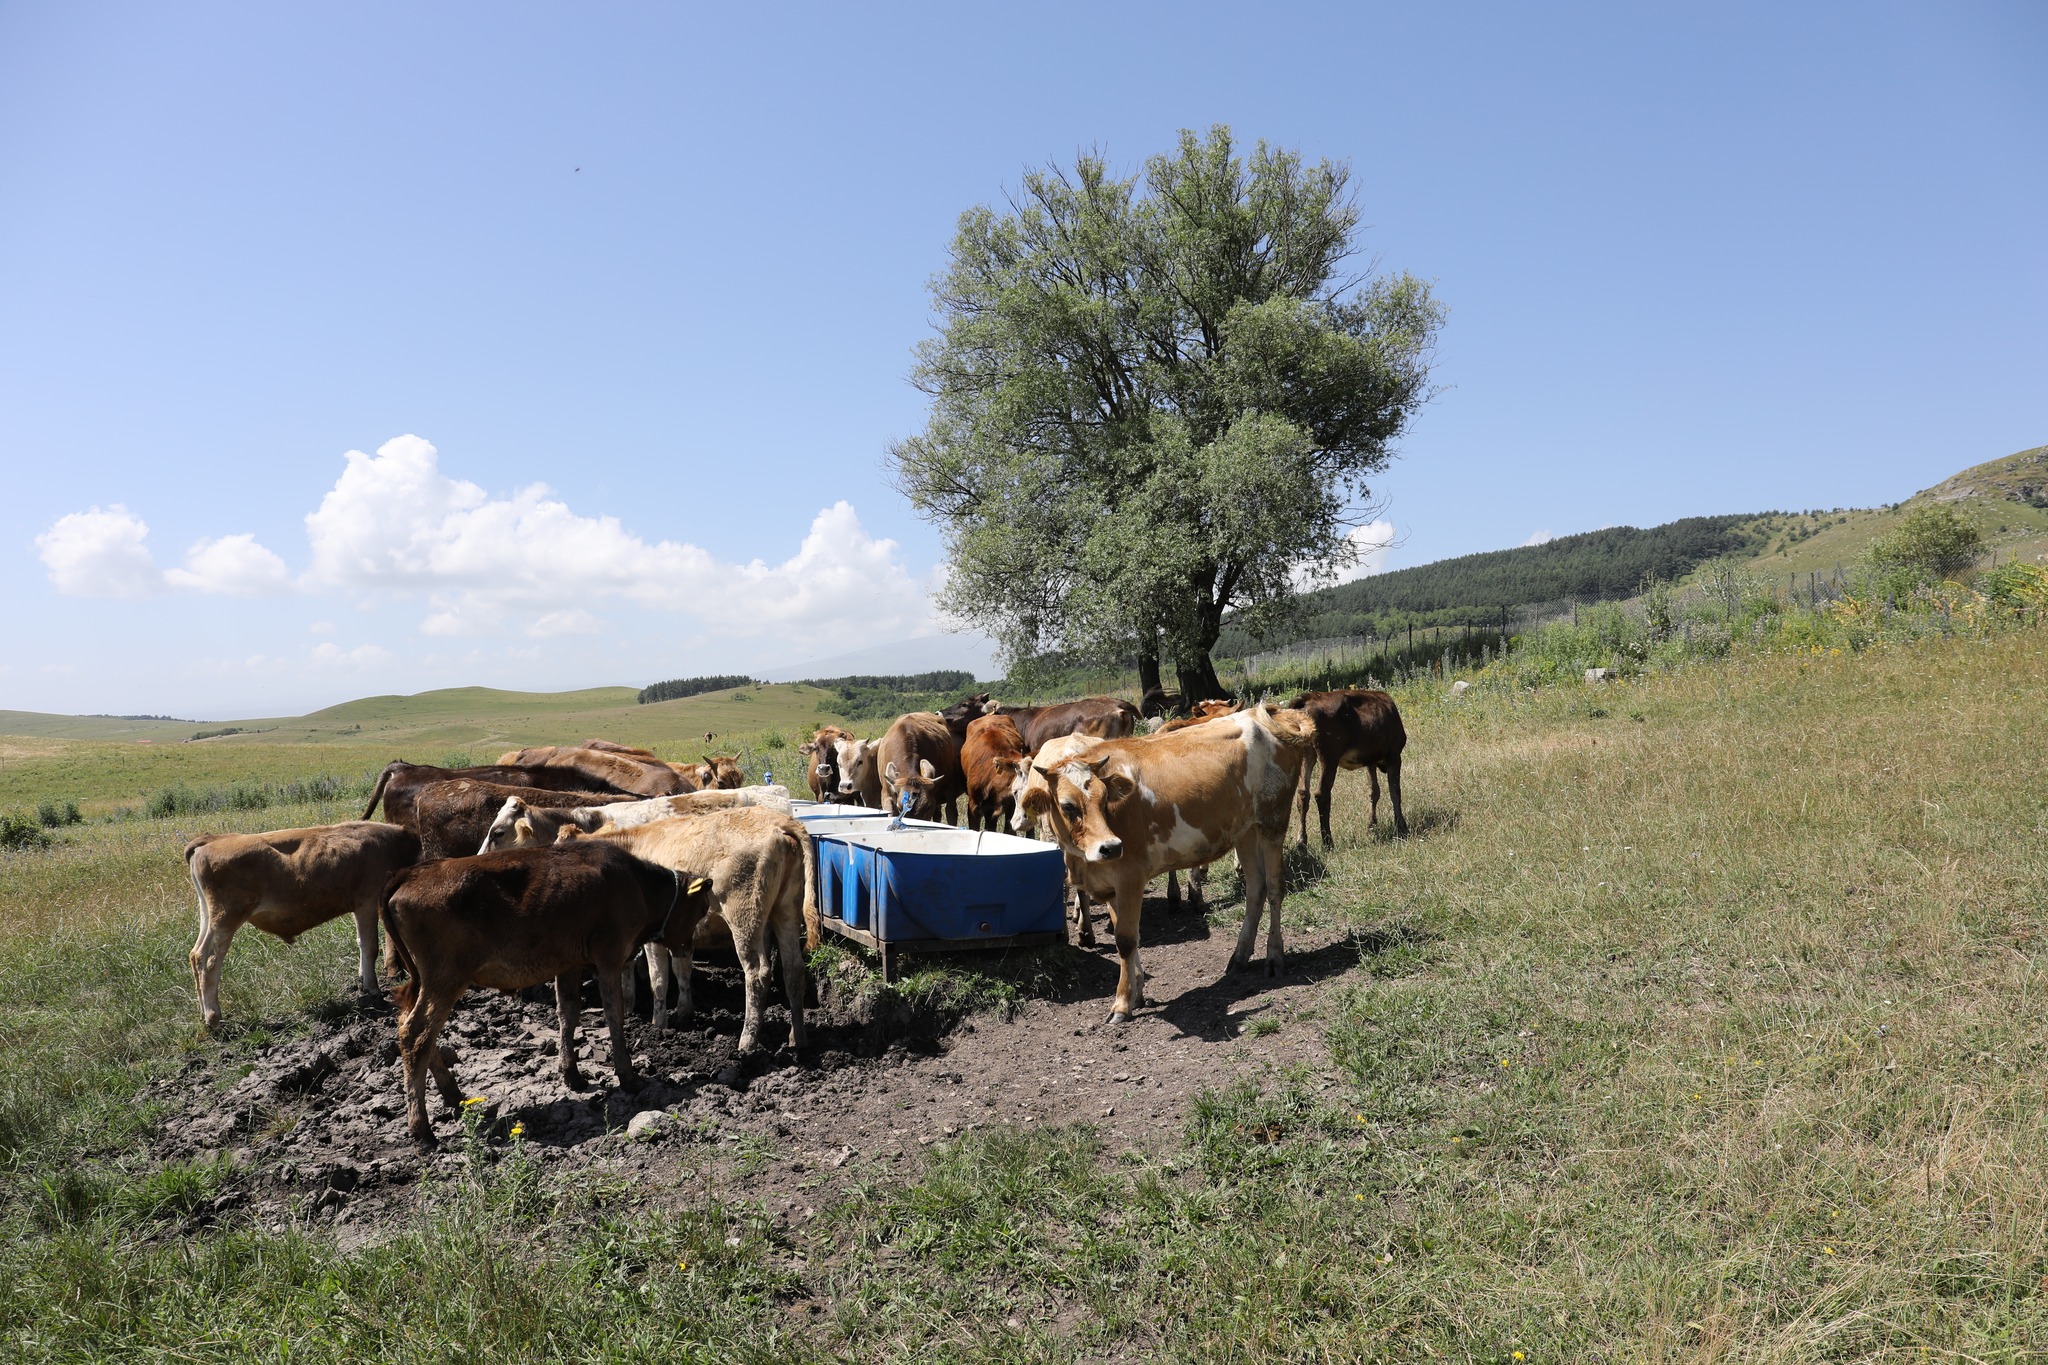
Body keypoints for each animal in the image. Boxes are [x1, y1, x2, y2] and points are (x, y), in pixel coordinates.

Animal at [184, 821, 421, 1028]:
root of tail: (211, 840)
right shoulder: (368, 902)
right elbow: (370, 946)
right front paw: (374, 991)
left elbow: (361, 943)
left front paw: (363, 979)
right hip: (226, 918)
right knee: (210, 961)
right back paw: (214, 1017)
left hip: (209, 917)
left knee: (197, 955)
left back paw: (204, 1014)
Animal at [381, 841, 711, 1145]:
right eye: (701, 909)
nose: (688, 948)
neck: (637, 883)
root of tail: (412, 872)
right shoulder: (610, 956)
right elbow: (613, 1014)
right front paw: (628, 1076)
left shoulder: (569, 962)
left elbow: (568, 1012)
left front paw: (572, 1074)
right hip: (446, 978)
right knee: (417, 1034)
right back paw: (422, 1128)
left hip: (425, 981)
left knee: (414, 1028)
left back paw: (454, 1095)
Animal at [518, 807, 818, 1053]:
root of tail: (779, 821)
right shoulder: (678, 934)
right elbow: (680, 969)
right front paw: (679, 1010)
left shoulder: (652, 935)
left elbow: (658, 978)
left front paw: (657, 1023)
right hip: (786, 911)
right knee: (793, 969)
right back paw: (798, 1037)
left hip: (745, 917)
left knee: (758, 973)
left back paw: (747, 1041)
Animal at [1017, 705, 1314, 1020]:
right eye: (1067, 806)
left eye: (1104, 797)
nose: (1111, 847)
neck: (1082, 861)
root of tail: (1265, 713)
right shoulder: (1112, 884)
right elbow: (1129, 936)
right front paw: (1137, 992)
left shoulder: (1130, 877)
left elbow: (1125, 940)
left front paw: (1122, 1003)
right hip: (1245, 830)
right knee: (1255, 889)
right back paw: (1240, 957)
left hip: (1273, 820)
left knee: (1274, 888)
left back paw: (1274, 957)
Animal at [1288, 690, 1409, 846]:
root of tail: (1308, 698)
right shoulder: (1394, 755)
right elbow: (1395, 792)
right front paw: (1401, 827)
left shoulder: (1369, 760)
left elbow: (1374, 791)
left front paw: (1371, 825)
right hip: (1329, 756)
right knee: (1322, 794)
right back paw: (1328, 841)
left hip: (1306, 752)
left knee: (1303, 793)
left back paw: (1301, 842)